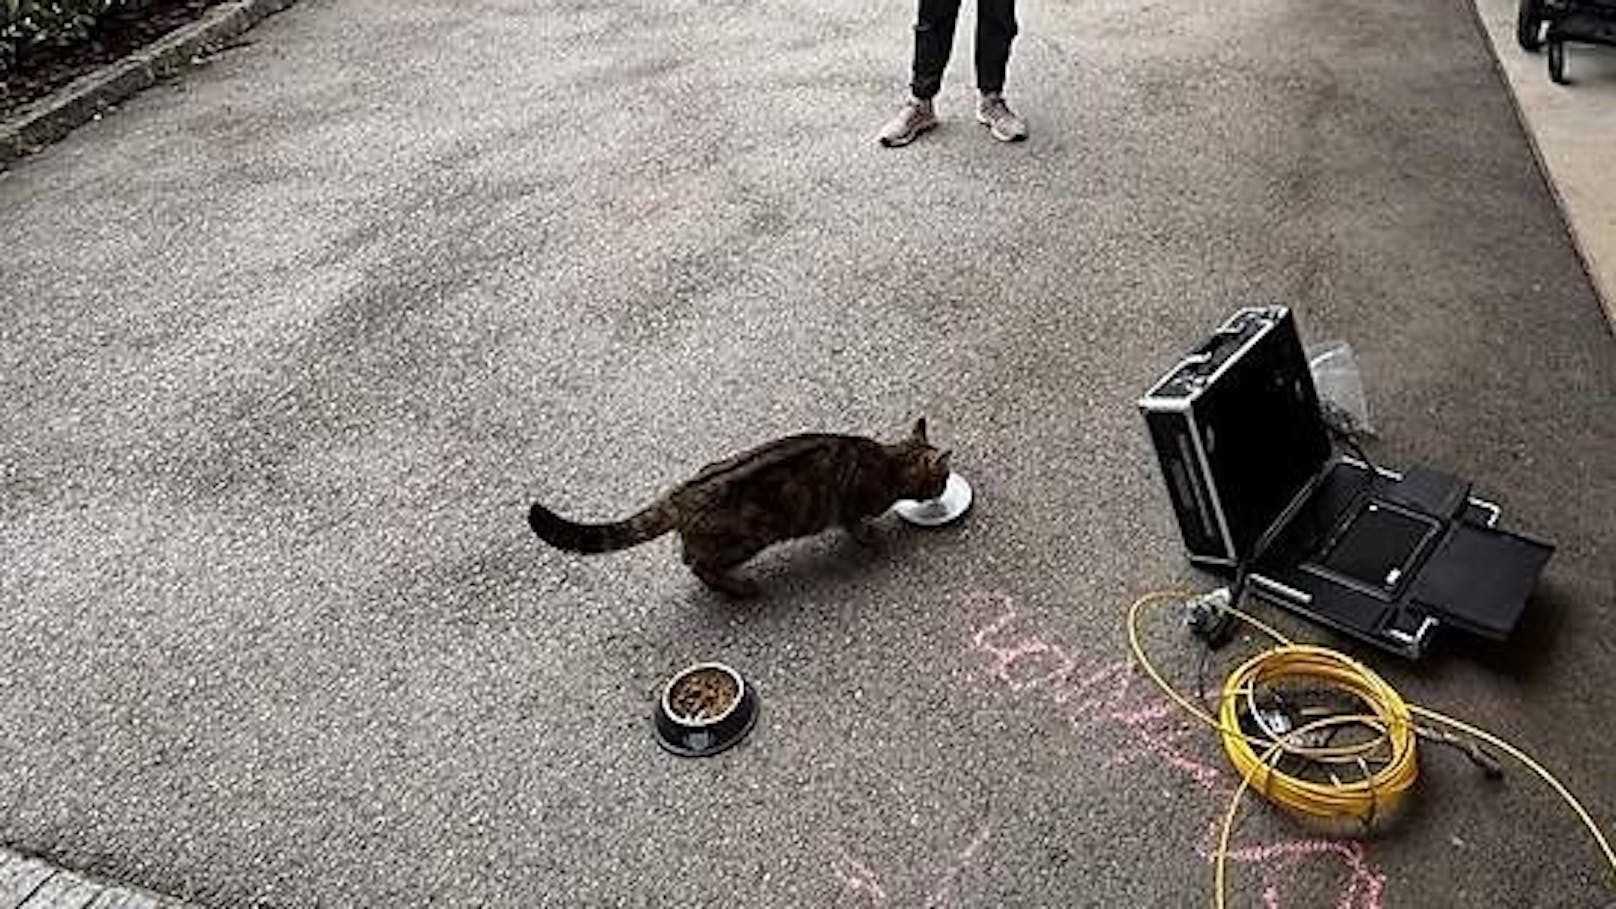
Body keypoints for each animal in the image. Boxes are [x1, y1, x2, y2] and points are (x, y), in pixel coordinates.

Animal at [530, 417, 950, 595]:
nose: (944, 491)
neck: (890, 460)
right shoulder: (851, 504)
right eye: (943, 479)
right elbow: (856, 524)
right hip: (746, 539)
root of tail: (680, 494)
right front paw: (870, 536)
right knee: (696, 563)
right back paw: (739, 586)